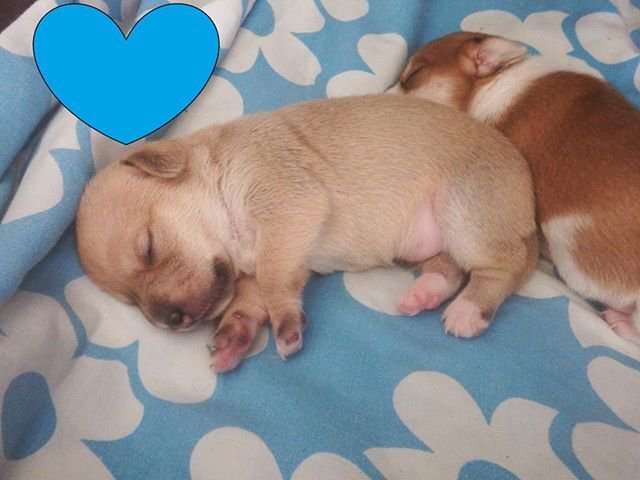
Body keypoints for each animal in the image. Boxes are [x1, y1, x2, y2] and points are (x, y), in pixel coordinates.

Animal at [76, 94, 538, 372]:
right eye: (129, 302)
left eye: (149, 248)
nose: (170, 322)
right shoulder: (261, 262)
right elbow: (251, 298)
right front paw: (234, 336)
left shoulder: (286, 208)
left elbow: (273, 280)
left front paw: (285, 324)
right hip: (432, 239)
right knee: (450, 267)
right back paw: (426, 291)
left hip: (464, 212)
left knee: (504, 266)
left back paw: (470, 310)